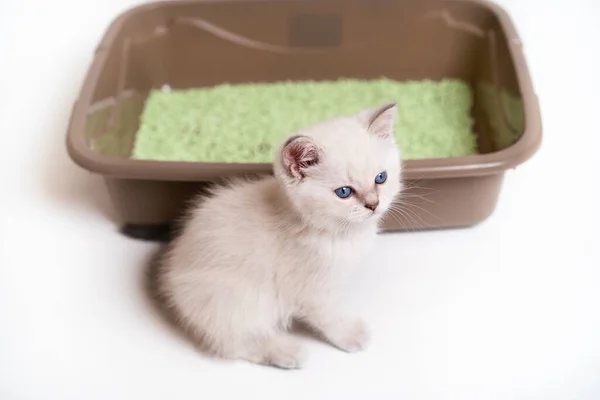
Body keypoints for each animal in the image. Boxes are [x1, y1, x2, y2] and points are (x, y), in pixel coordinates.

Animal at [158, 102, 404, 368]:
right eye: (344, 192)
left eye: (380, 178)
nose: (373, 204)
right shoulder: (311, 291)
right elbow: (329, 316)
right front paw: (351, 335)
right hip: (237, 300)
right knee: (235, 343)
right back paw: (288, 352)